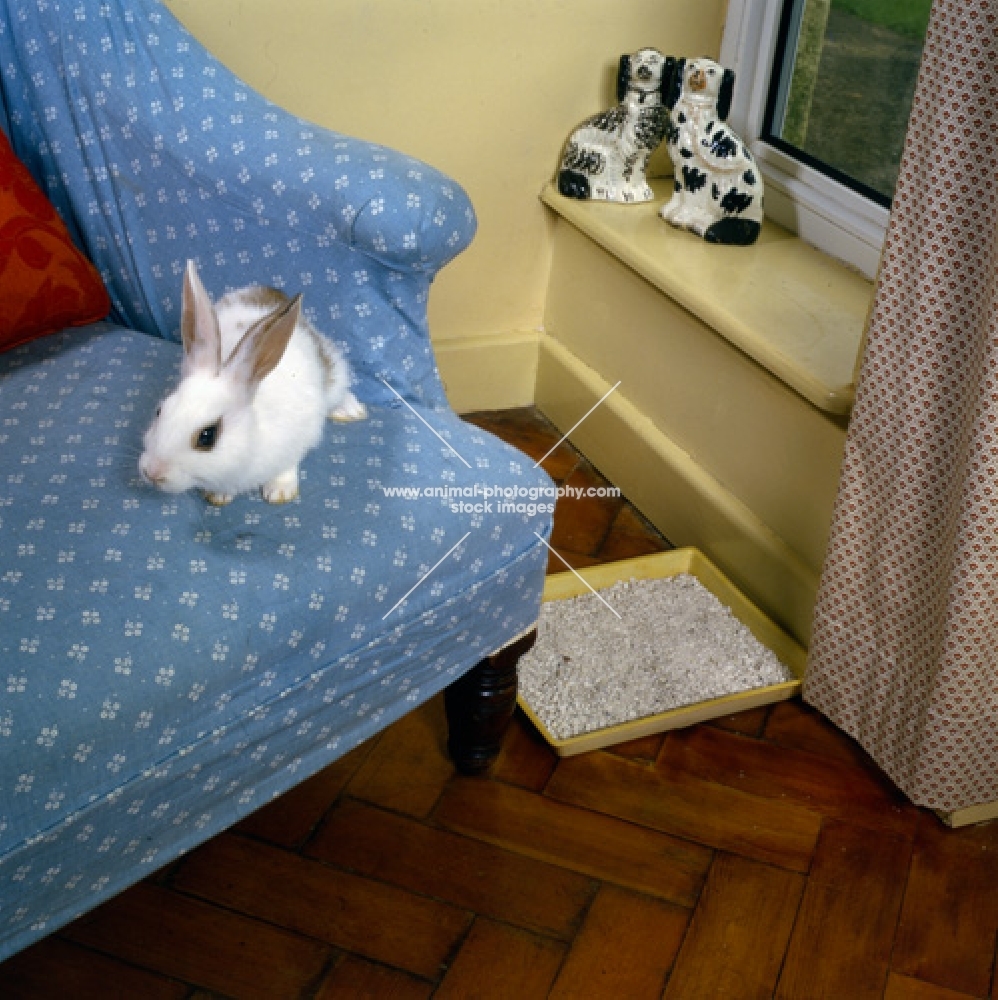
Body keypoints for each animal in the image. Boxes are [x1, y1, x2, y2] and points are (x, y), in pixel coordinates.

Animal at [140, 260, 368, 504]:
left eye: (207, 436)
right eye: (159, 411)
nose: (152, 472)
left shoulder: (298, 437)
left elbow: (287, 466)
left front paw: (280, 492)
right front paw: (218, 496)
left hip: (333, 373)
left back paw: (351, 410)